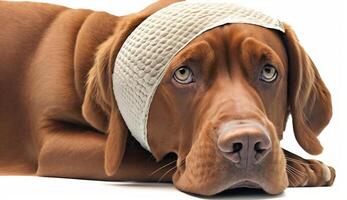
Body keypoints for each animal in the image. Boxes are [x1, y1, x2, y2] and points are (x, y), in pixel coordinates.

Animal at [0, 0, 338, 196]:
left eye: (268, 72)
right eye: (183, 74)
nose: (248, 144)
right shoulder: (55, 144)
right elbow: (143, 155)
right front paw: (302, 167)